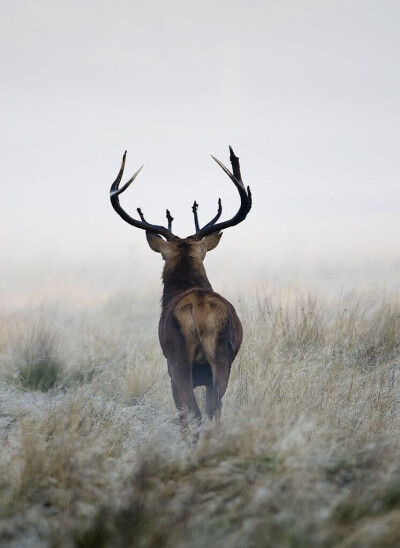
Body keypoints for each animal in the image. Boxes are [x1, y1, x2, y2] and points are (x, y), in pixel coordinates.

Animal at [109, 146, 252, 428]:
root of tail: (200, 312)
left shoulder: (169, 368)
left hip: (177, 361)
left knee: (192, 413)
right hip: (223, 358)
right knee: (215, 408)